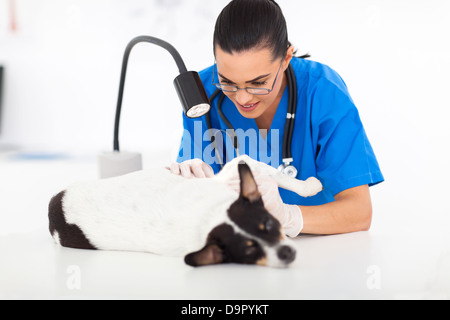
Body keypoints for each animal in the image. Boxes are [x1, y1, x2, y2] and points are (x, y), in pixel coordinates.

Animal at [48, 156, 324, 268]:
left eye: (268, 225)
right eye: (248, 250)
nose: (286, 253)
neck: (212, 215)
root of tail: (53, 203)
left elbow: (277, 175)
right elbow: (274, 173)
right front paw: (311, 185)